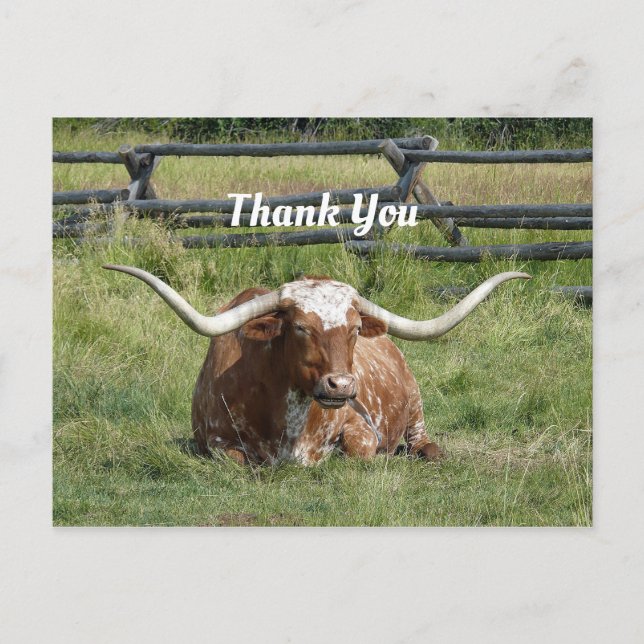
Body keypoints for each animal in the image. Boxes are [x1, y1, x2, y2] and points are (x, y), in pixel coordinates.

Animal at [103, 265, 530, 466]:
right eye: (300, 327)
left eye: (355, 328)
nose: (341, 385)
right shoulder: (212, 443)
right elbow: (236, 460)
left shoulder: (361, 426)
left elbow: (359, 450)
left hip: (416, 406)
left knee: (423, 441)